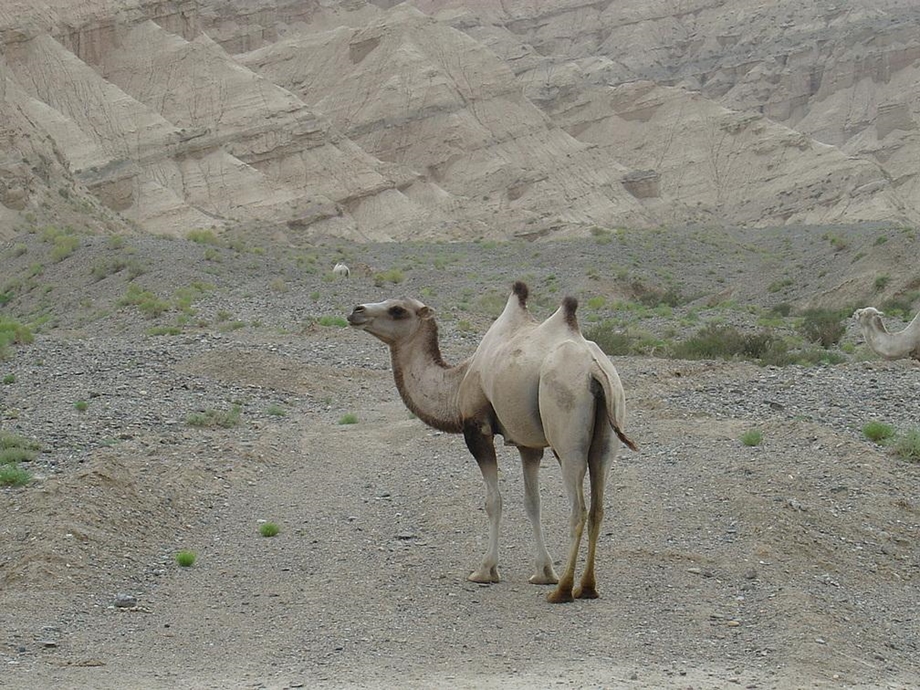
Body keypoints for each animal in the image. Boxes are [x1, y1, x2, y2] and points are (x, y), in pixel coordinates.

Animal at [344, 280, 632, 600]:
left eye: (397, 310)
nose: (356, 311)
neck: (458, 382)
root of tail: (595, 371)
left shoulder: (477, 429)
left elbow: (493, 500)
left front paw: (486, 570)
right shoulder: (528, 444)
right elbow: (533, 502)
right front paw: (543, 572)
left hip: (567, 437)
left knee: (578, 509)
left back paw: (563, 591)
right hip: (606, 436)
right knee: (598, 507)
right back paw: (588, 587)